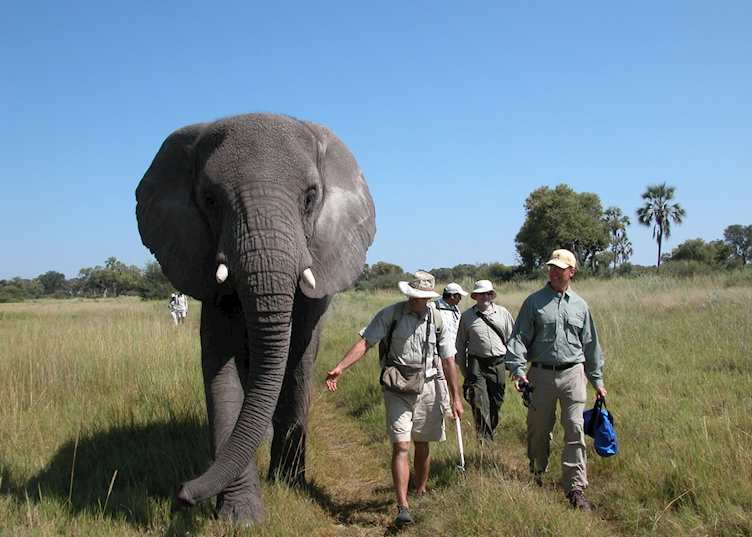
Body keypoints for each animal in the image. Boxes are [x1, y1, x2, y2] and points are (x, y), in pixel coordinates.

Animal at [135, 113, 375, 524]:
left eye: (310, 197)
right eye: (210, 199)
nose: (182, 493)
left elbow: (297, 363)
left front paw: (289, 485)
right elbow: (221, 369)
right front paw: (240, 517)